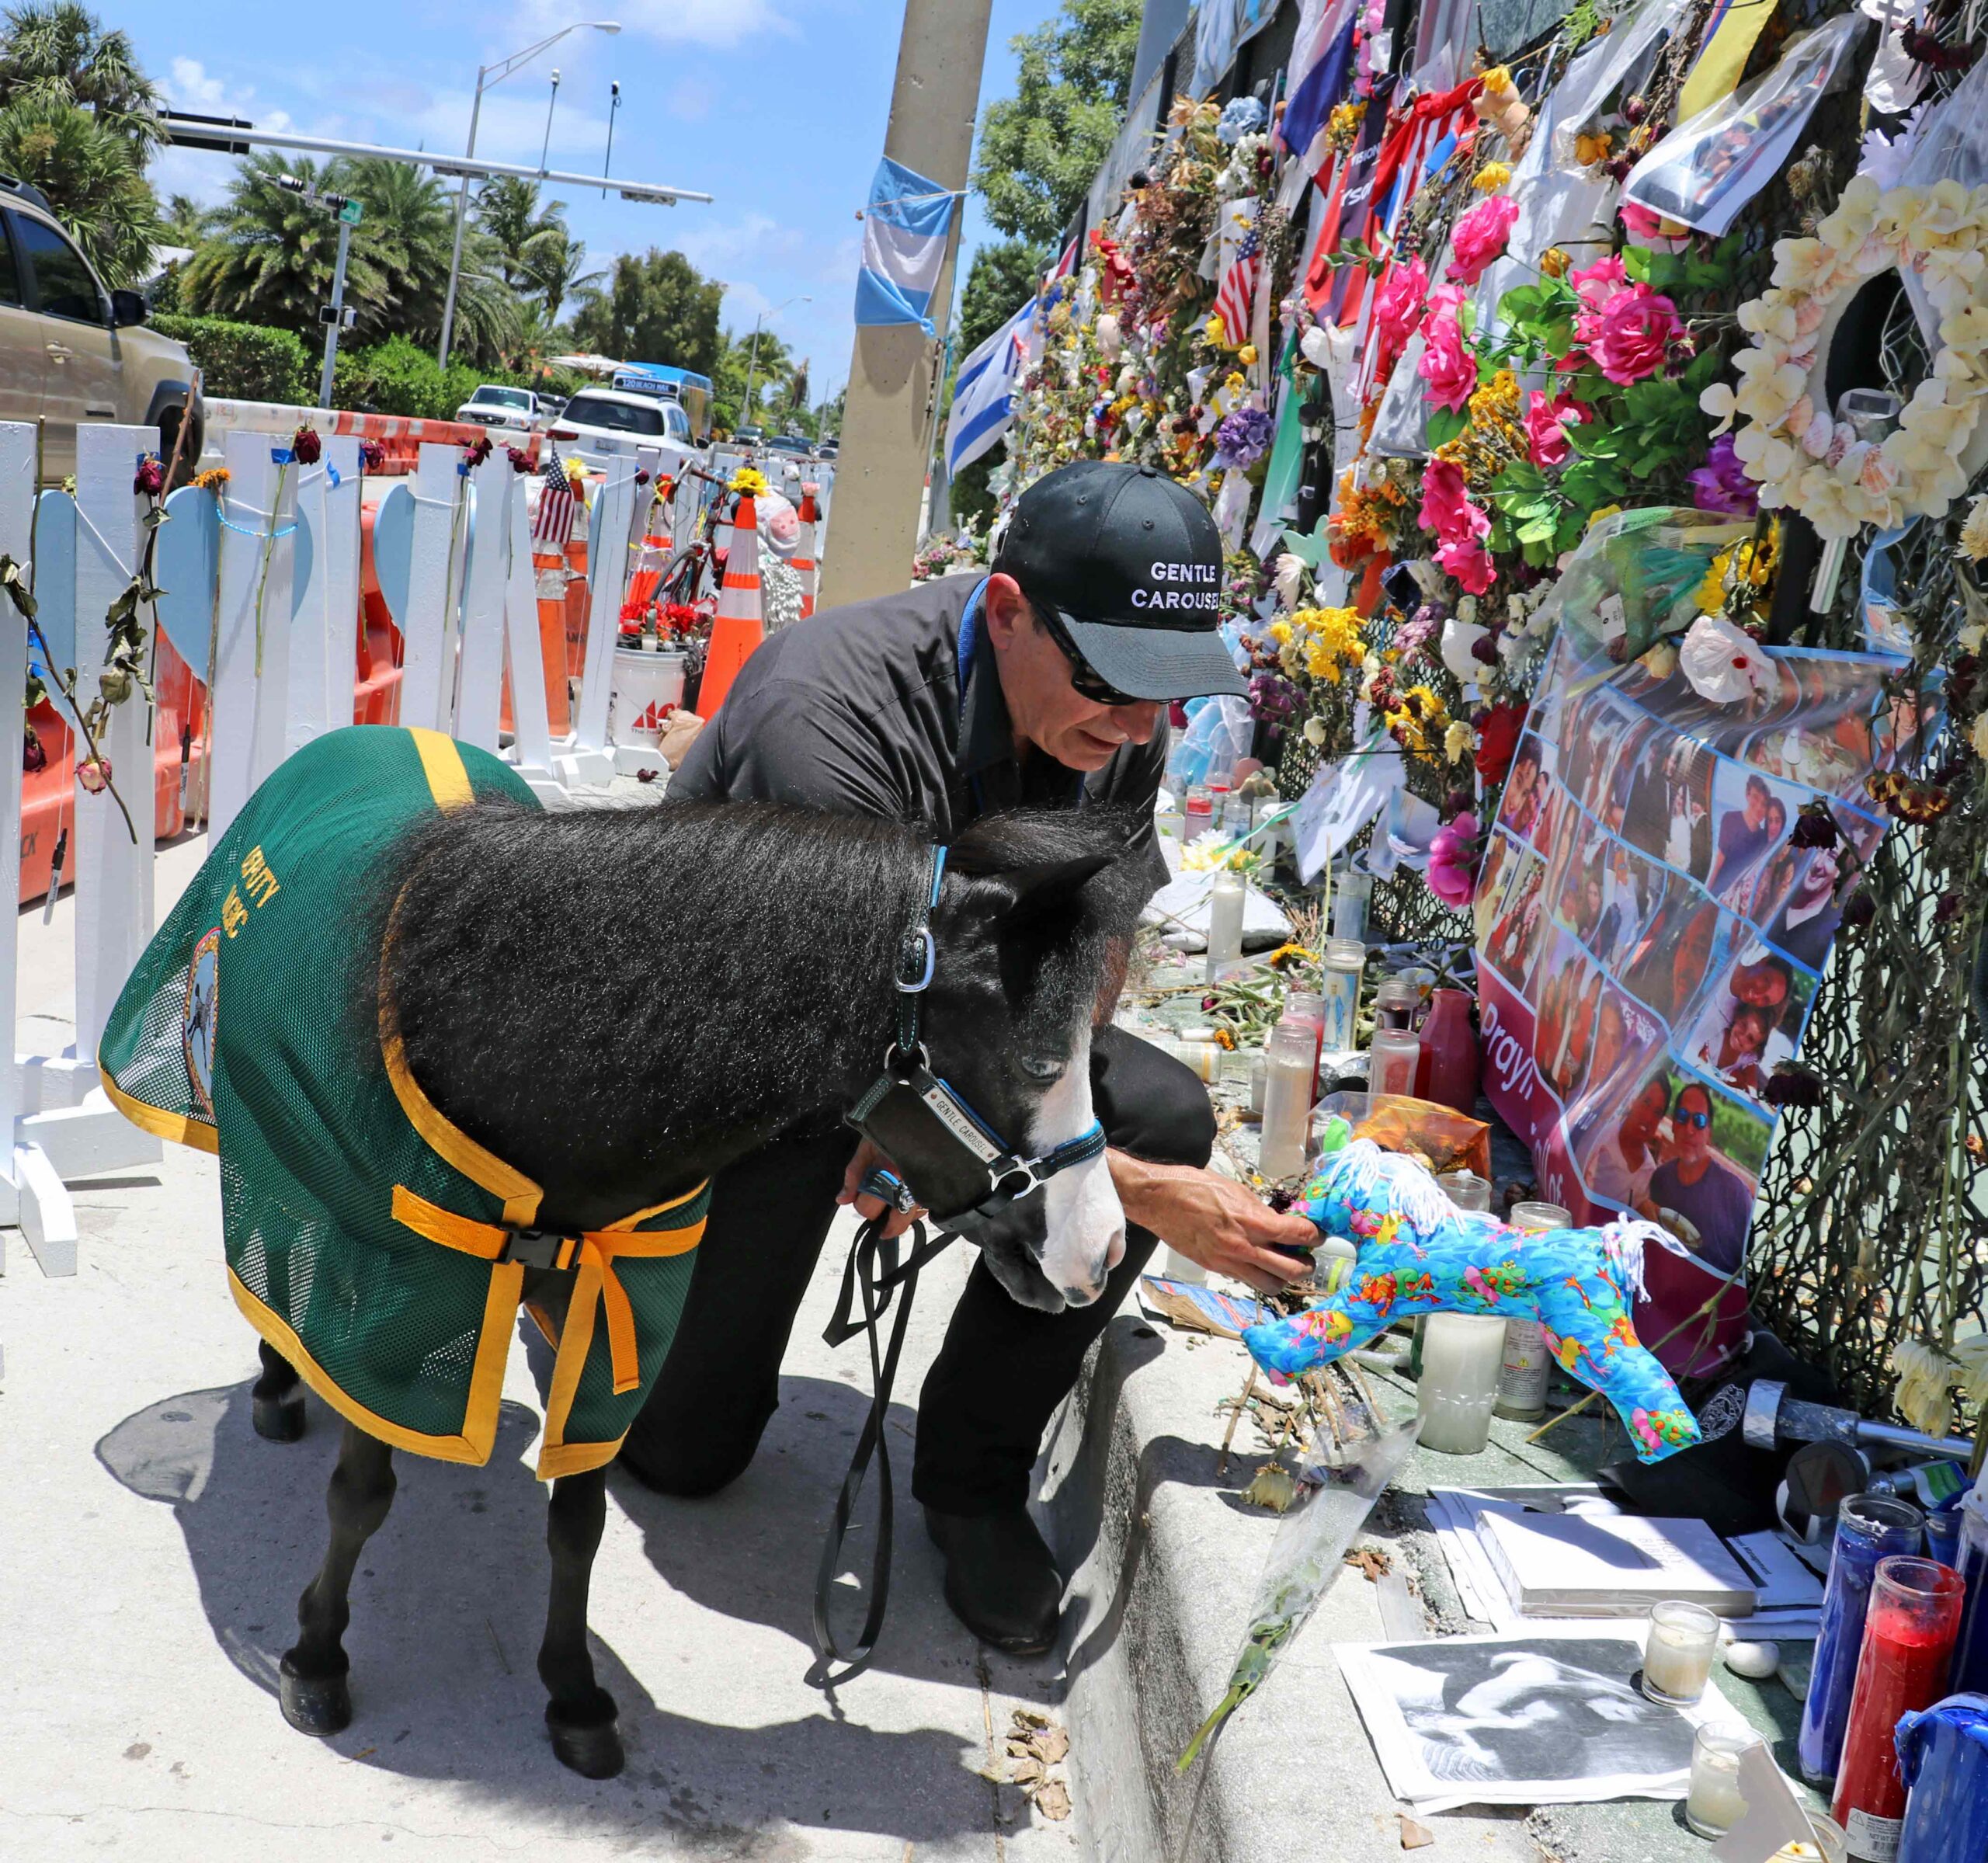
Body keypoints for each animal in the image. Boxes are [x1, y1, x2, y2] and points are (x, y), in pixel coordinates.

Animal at [248, 787, 1152, 1773]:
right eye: (1039, 1063)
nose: (1104, 1249)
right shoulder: (390, 1288)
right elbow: (360, 1494)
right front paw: (315, 1656)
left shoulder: (606, 1316)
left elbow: (579, 1521)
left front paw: (573, 1693)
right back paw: (275, 1380)